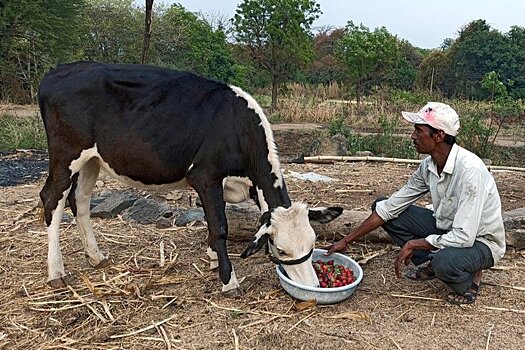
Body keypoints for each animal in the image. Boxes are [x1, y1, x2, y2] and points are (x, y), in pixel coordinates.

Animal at [36, 62, 340, 296]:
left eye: (312, 244)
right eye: (281, 249)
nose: (313, 286)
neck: (236, 127)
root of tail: (57, 71)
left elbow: (213, 221)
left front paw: (213, 258)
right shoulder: (205, 176)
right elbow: (219, 226)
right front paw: (228, 280)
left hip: (92, 159)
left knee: (80, 200)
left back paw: (96, 256)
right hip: (65, 154)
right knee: (52, 198)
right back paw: (56, 271)